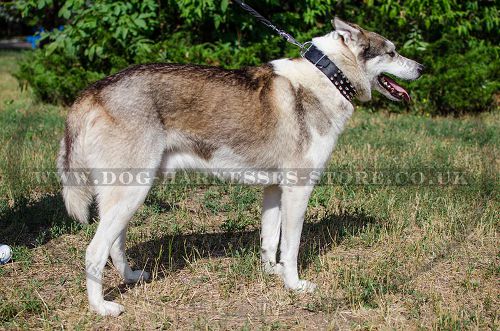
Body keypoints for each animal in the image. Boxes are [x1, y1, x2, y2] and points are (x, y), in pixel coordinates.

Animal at [58, 17, 424, 316]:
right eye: (392, 52)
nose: (421, 68)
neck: (328, 77)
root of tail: (94, 90)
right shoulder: (298, 190)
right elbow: (291, 247)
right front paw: (294, 285)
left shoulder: (274, 190)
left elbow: (270, 242)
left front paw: (272, 273)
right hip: (131, 192)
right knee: (94, 251)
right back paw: (101, 308)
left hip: (126, 196)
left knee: (113, 245)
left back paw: (132, 277)